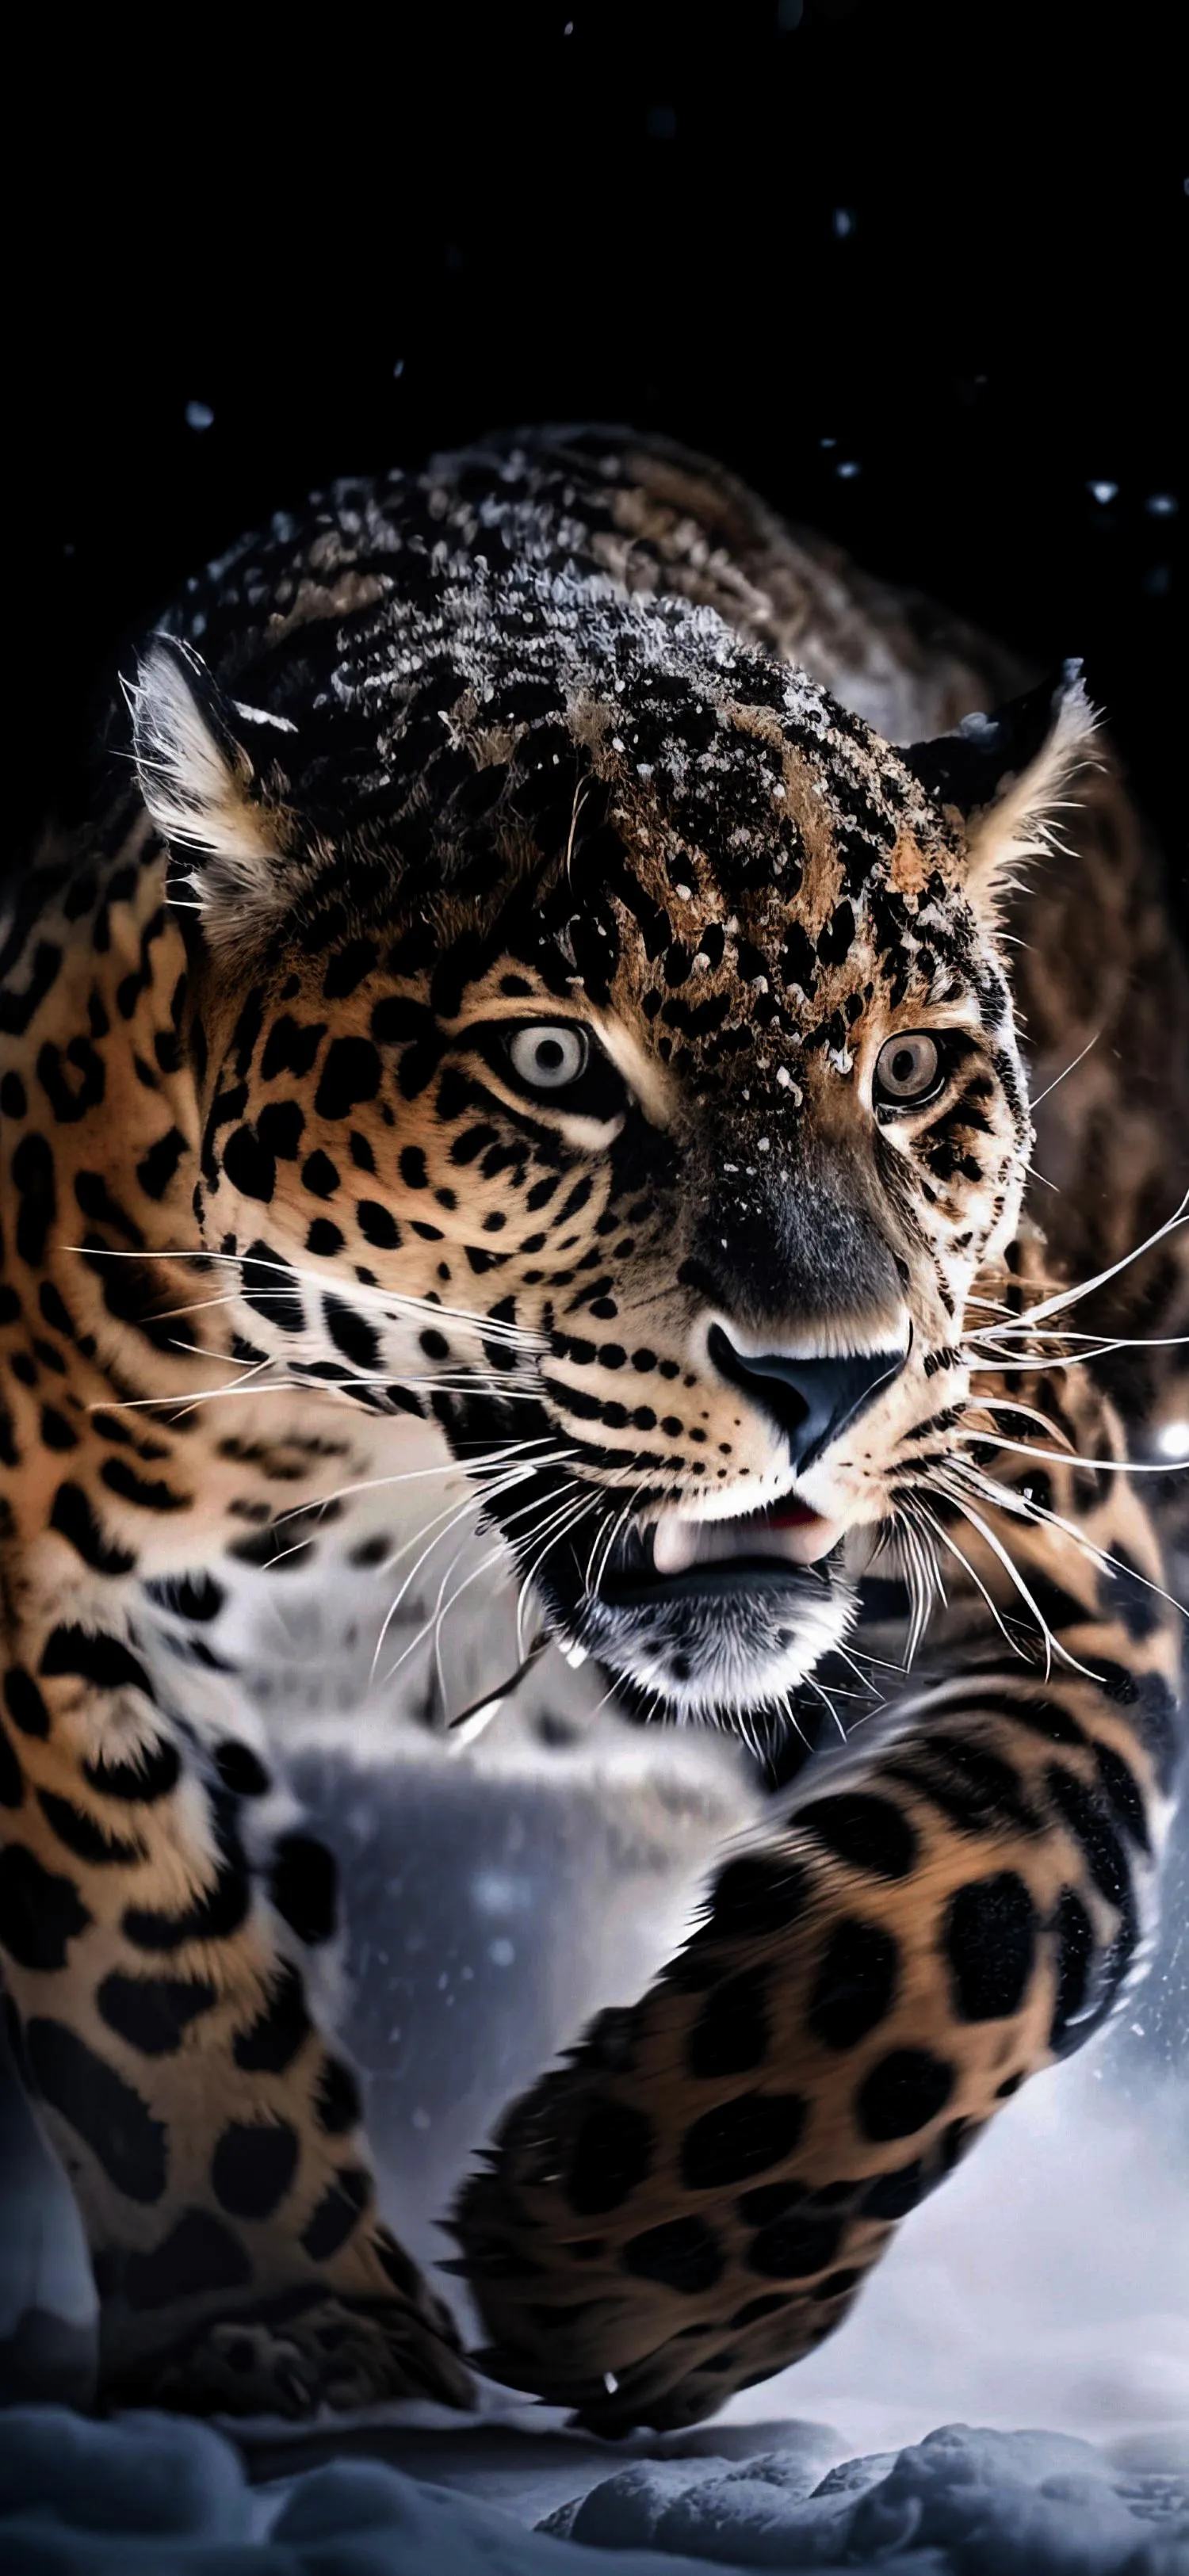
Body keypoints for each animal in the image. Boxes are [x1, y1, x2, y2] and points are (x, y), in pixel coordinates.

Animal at [1, 425, 1185, 2434]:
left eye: (908, 1072)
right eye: (553, 1064)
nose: (831, 1374)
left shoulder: (1055, 1551)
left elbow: (975, 1904)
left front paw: (635, 2261)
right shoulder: (24, 1582)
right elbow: (135, 1956)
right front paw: (289, 2324)